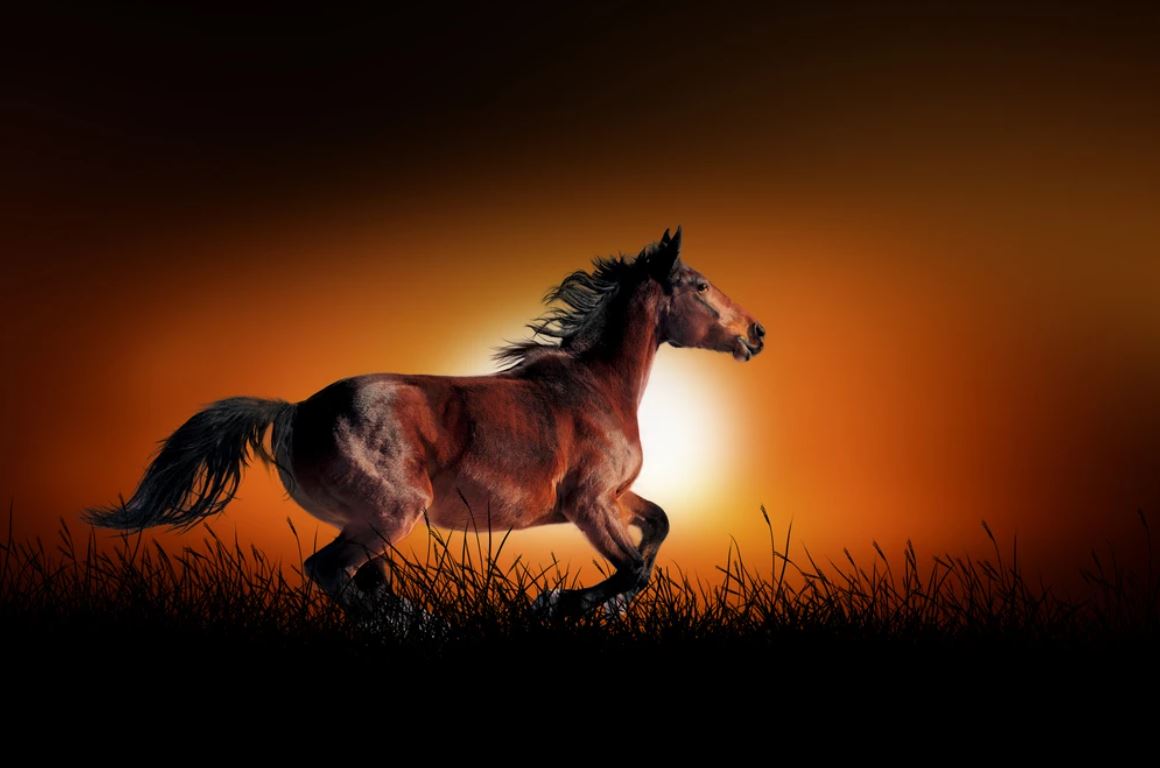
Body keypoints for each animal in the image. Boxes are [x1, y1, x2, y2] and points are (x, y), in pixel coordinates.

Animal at [85, 227, 765, 616]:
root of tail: (297, 410)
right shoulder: (588, 502)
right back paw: (423, 624)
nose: (756, 333)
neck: (595, 386)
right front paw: (557, 604)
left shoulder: (615, 497)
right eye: (699, 285)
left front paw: (579, 604)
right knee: (332, 574)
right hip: (391, 513)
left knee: (362, 584)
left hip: (368, 521)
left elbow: (658, 531)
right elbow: (634, 570)